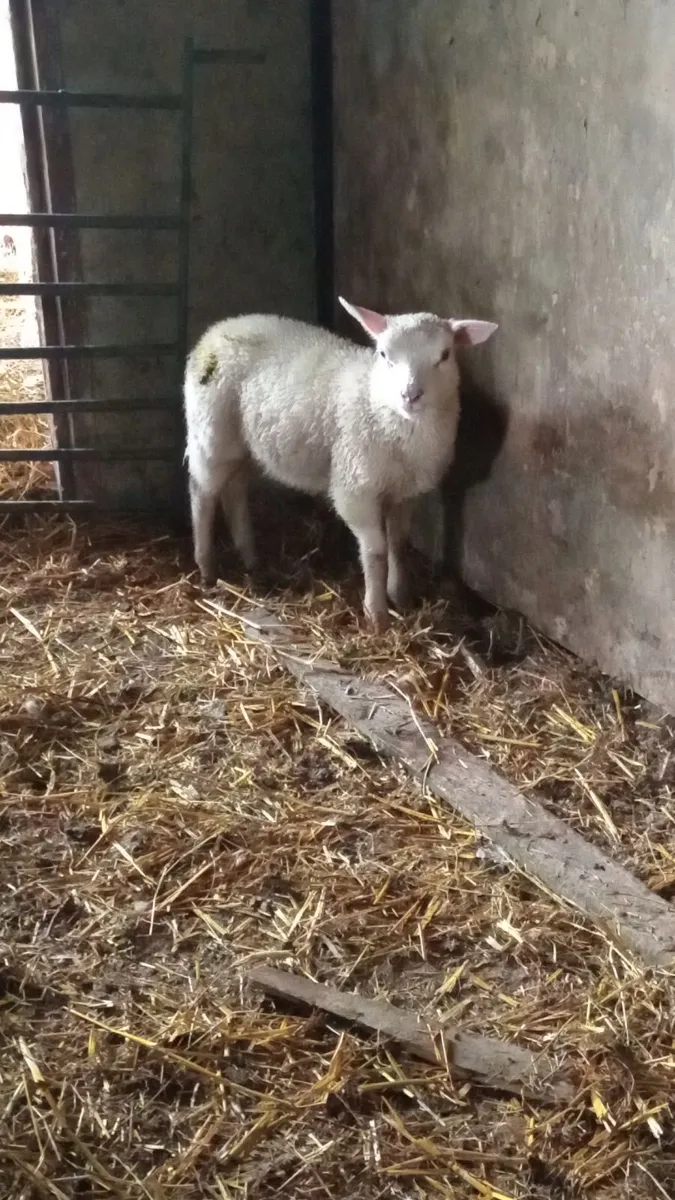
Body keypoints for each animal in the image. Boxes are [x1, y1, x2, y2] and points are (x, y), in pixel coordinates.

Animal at [183, 298, 497, 631]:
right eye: (384, 355)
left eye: (445, 355)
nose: (410, 395)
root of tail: (218, 328)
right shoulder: (355, 488)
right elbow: (376, 551)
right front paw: (377, 615)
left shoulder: (406, 492)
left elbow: (398, 544)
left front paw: (401, 596)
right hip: (211, 431)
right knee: (202, 493)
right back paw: (207, 566)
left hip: (240, 444)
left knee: (234, 492)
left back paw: (251, 558)